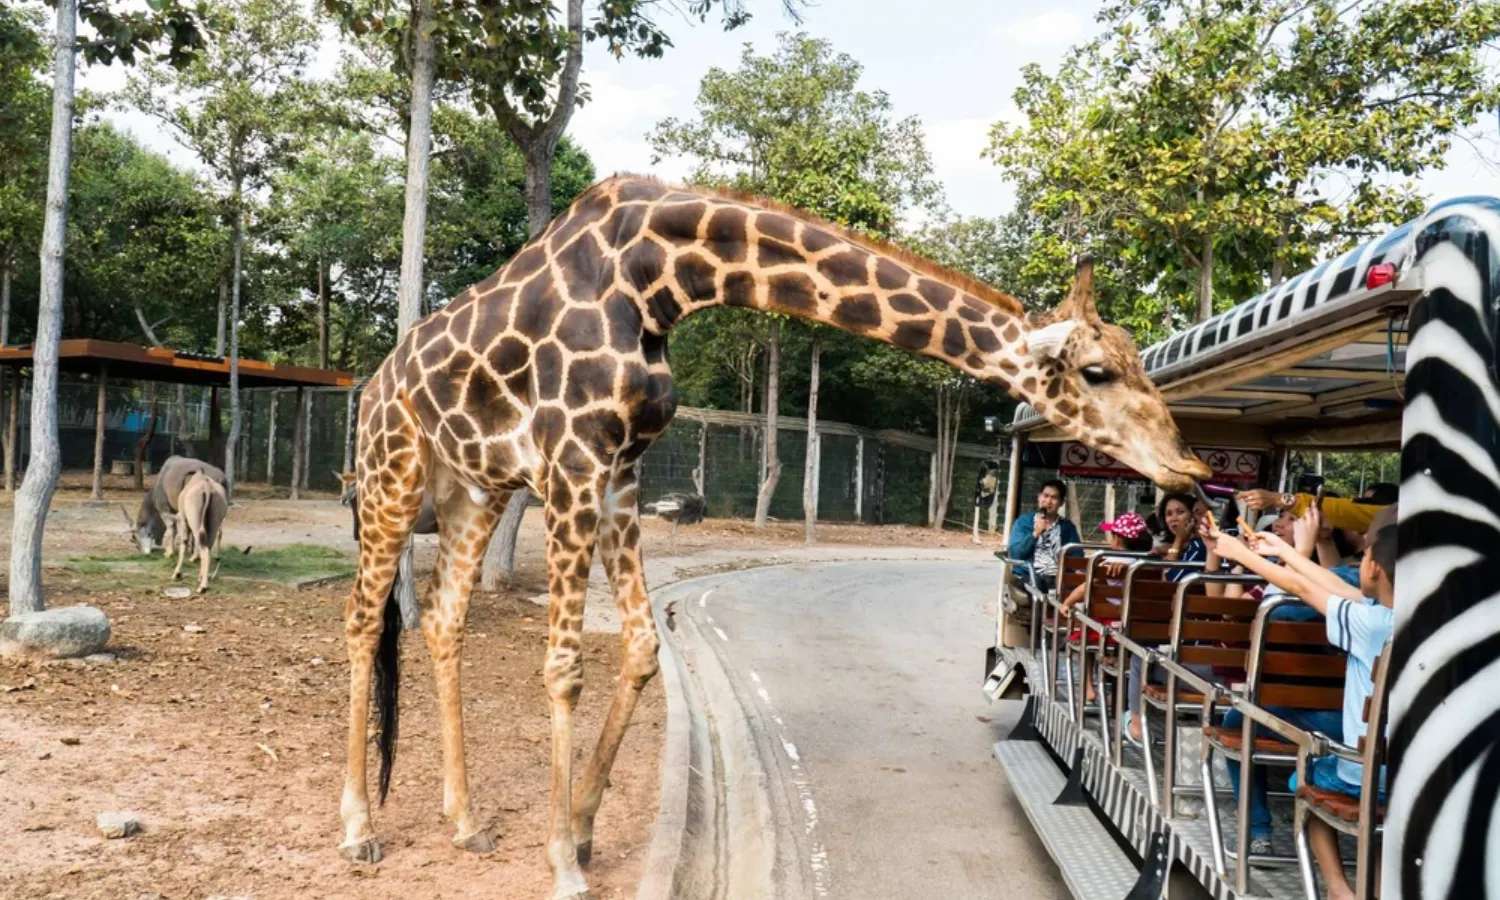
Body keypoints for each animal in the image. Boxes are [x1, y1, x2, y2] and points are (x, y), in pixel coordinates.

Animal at [340, 172, 1206, 894]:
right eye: (1096, 372)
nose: (1188, 467)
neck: (660, 279)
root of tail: (372, 385)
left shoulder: (619, 473)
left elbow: (642, 647)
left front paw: (581, 831)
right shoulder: (574, 463)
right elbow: (562, 667)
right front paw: (563, 864)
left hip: (472, 493)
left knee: (443, 618)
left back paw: (464, 823)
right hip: (392, 477)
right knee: (362, 619)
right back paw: (357, 831)